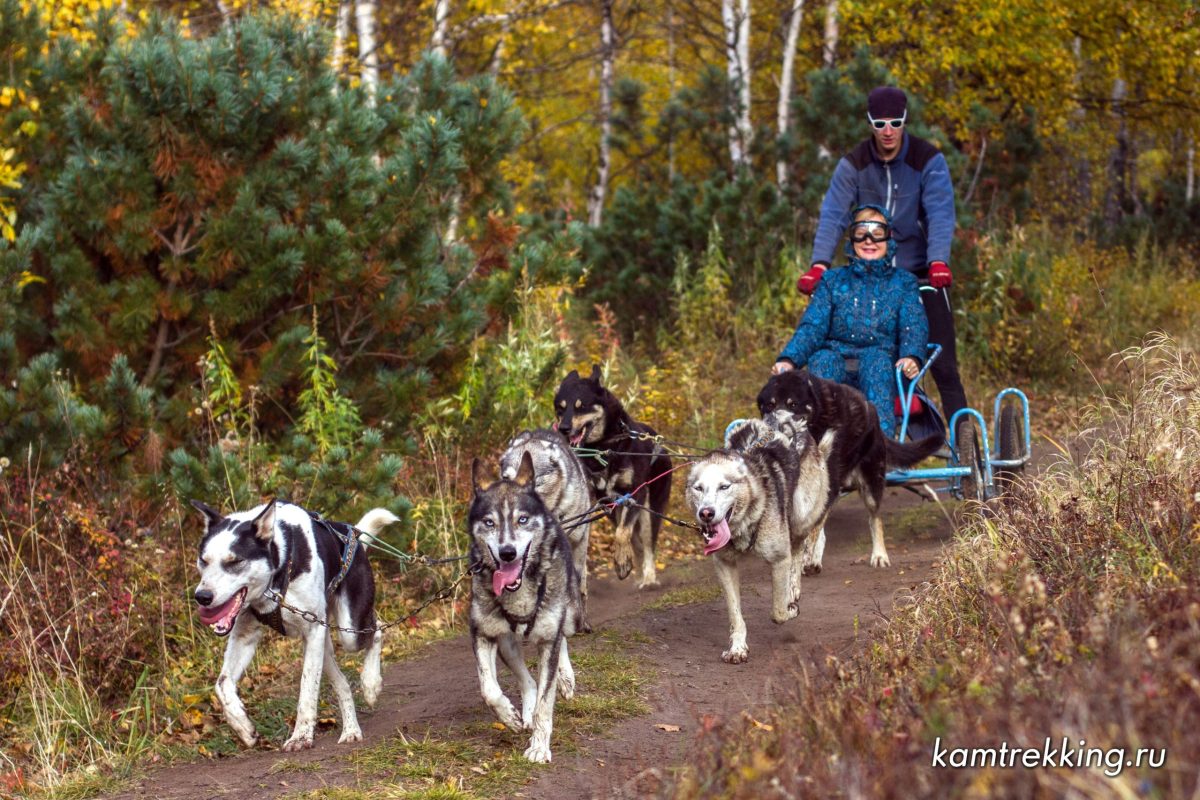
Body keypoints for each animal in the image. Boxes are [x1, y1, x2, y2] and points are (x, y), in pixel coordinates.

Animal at [468, 450, 580, 762]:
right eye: (489, 522)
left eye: (523, 519)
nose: (507, 553)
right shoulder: (483, 633)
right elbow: (488, 689)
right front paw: (508, 715)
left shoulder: (549, 638)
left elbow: (545, 702)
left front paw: (539, 747)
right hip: (507, 643)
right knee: (527, 681)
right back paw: (523, 712)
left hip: (570, 616)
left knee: (562, 641)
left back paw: (566, 678)